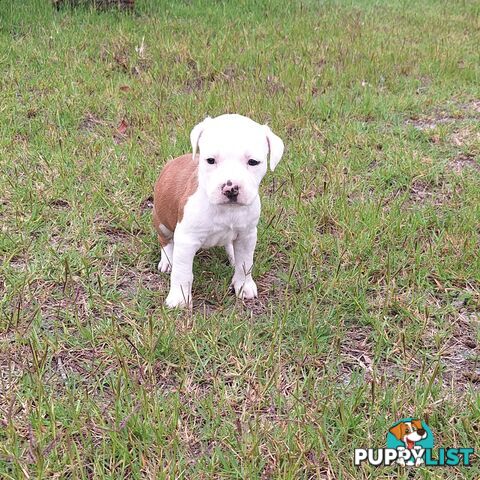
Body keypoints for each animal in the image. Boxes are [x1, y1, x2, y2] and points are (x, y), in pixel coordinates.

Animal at [152, 113, 284, 308]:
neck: (226, 210)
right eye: (210, 160)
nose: (230, 188)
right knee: (166, 241)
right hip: (162, 220)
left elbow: (245, 263)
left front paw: (244, 286)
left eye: (253, 162)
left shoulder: (247, 235)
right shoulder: (187, 239)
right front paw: (179, 299)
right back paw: (167, 261)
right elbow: (182, 272)